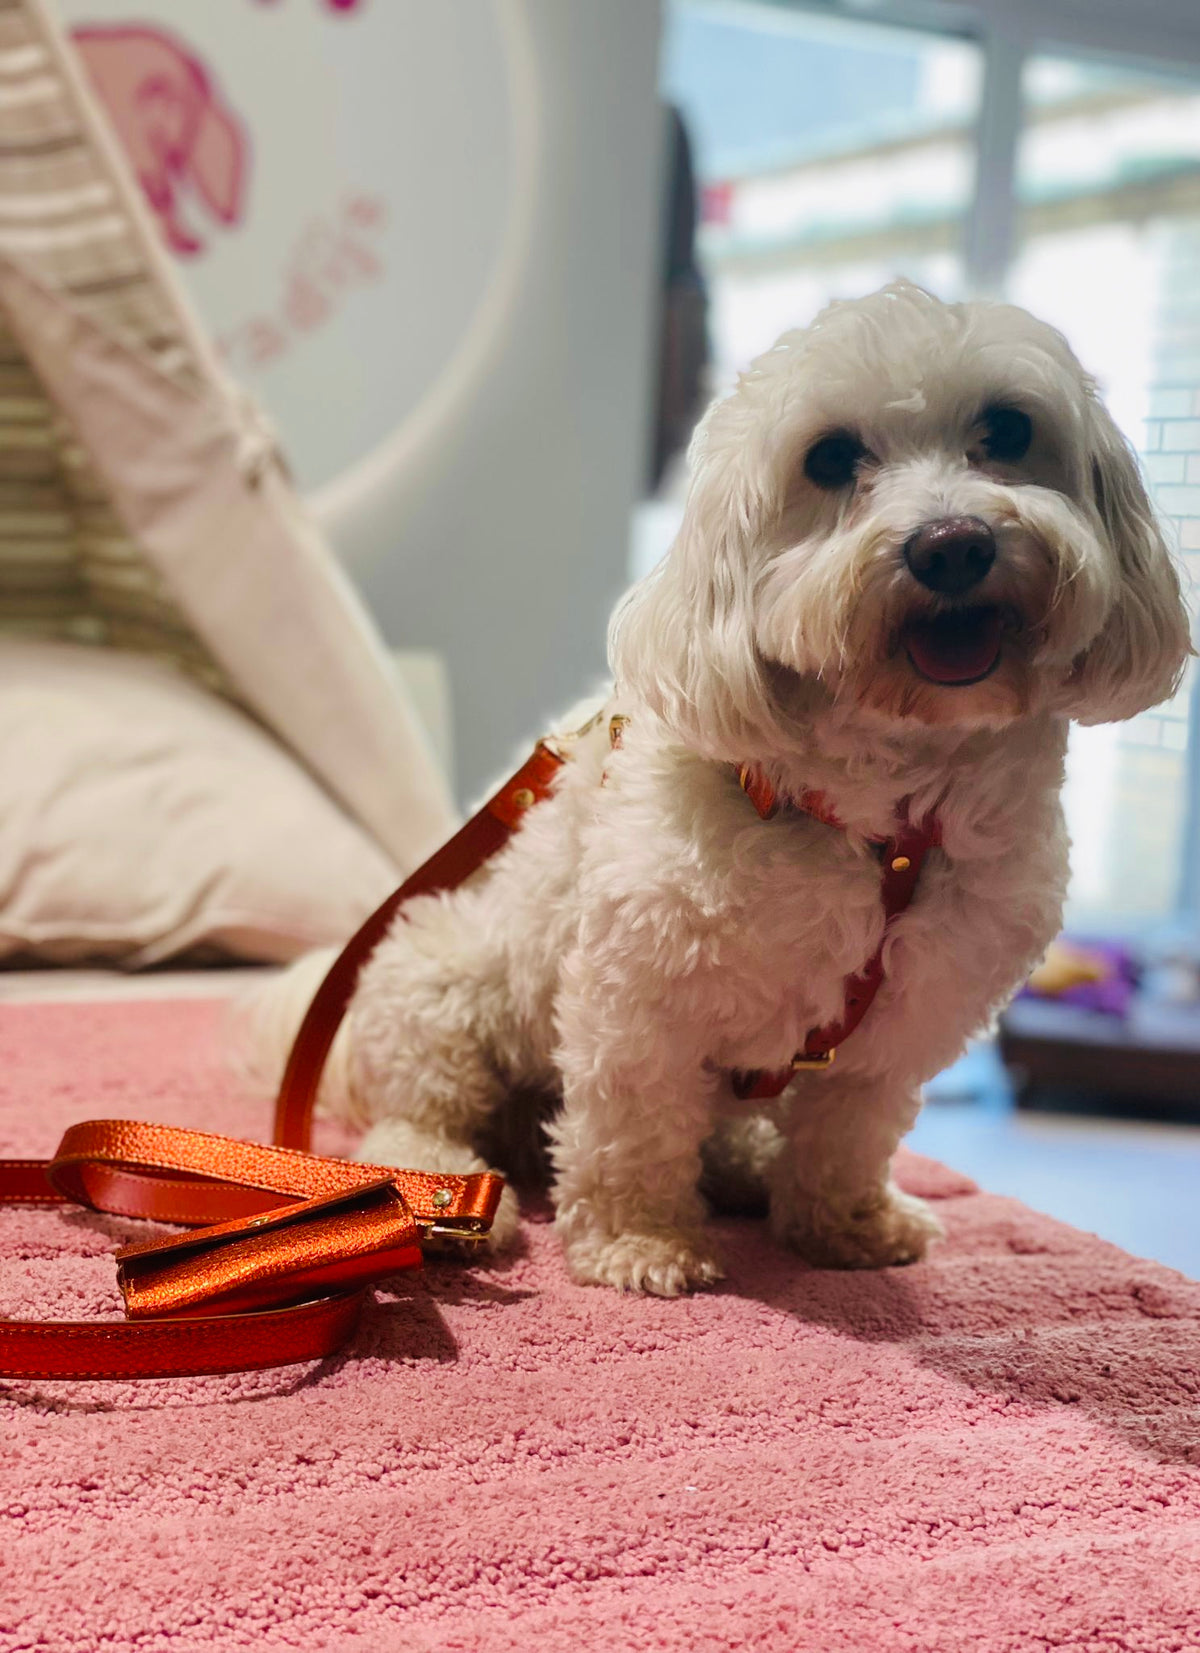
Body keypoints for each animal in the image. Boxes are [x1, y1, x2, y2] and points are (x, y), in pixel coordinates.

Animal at [251, 281, 1196, 1289]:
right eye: (830, 456)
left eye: (1010, 428)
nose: (951, 545)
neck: (883, 827)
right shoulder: (639, 994)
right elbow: (633, 1126)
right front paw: (640, 1240)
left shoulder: (899, 1026)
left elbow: (849, 1133)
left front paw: (844, 1225)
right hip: (444, 980)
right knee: (419, 1117)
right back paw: (447, 1191)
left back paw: (742, 1165)